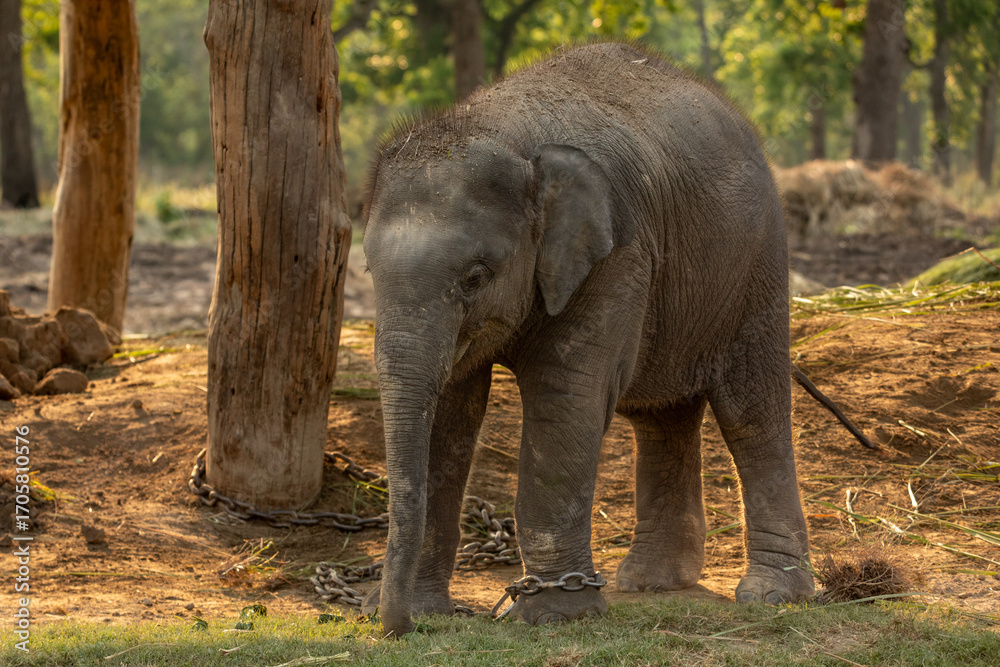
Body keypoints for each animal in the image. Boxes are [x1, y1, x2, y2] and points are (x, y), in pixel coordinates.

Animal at [361, 41, 816, 636]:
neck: (500, 129)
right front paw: (421, 608)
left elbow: (563, 398)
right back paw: (651, 581)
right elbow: (447, 414)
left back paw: (771, 595)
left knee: (751, 413)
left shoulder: (616, 254)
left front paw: (555, 615)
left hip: (755, 265)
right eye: (368, 270)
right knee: (660, 416)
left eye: (476, 277)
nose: (397, 628)